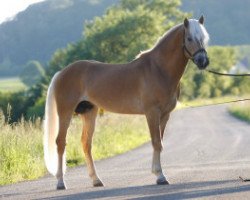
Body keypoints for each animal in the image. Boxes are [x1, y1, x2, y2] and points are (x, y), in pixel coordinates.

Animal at [44, 15, 210, 189]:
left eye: (204, 38)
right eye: (189, 38)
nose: (203, 61)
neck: (158, 69)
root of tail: (61, 72)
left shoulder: (165, 115)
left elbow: (160, 142)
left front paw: (157, 174)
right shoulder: (152, 113)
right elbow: (156, 142)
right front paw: (160, 176)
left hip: (89, 112)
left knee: (86, 144)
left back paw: (96, 180)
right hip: (65, 112)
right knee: (60, 142)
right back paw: (61, 182)